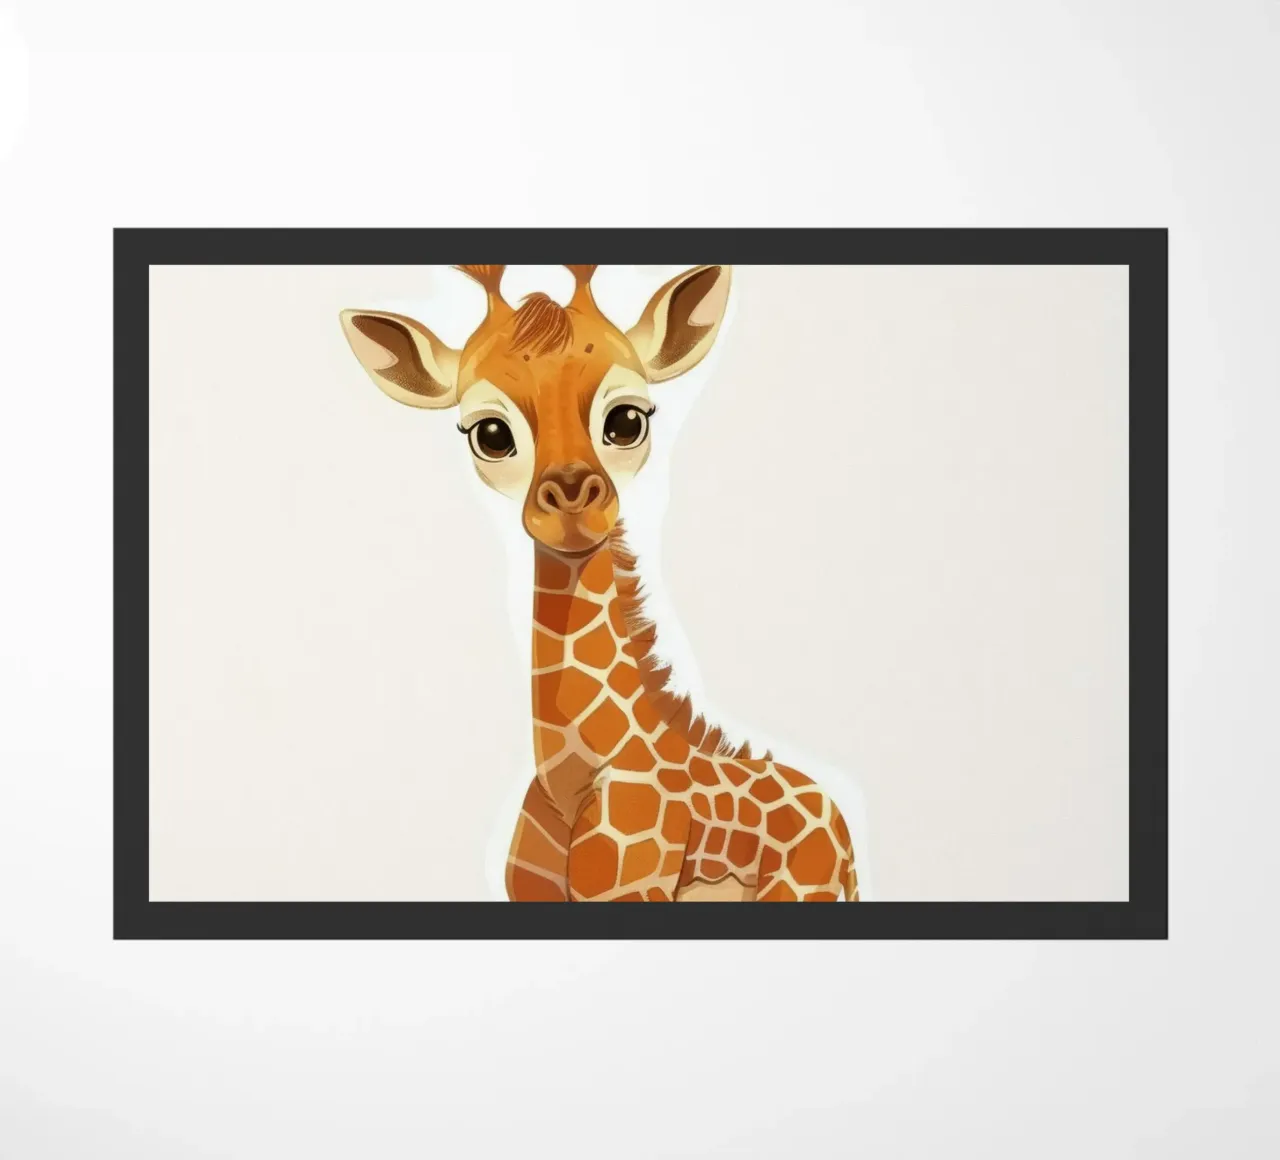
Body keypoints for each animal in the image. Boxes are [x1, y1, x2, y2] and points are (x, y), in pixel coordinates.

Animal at [340, 263, 860, 902]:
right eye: (490, 433)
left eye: (628, 420)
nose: (571, 501)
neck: (572, 776)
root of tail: (838, 817)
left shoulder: (628, 891)